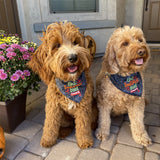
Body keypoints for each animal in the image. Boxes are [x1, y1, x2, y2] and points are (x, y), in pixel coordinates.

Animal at [27, 21, 97, 149]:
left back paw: (93, 125)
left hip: (93, 107)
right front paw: (48, 140)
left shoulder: (84, 106)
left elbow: (83, 125)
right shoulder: (53, 106)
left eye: (75, 42)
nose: (73, 57)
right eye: (57, 45)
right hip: (64, 117)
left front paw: (85, 140)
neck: (70, 83)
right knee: (68, 125)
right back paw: (63, 132)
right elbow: (50, 124)